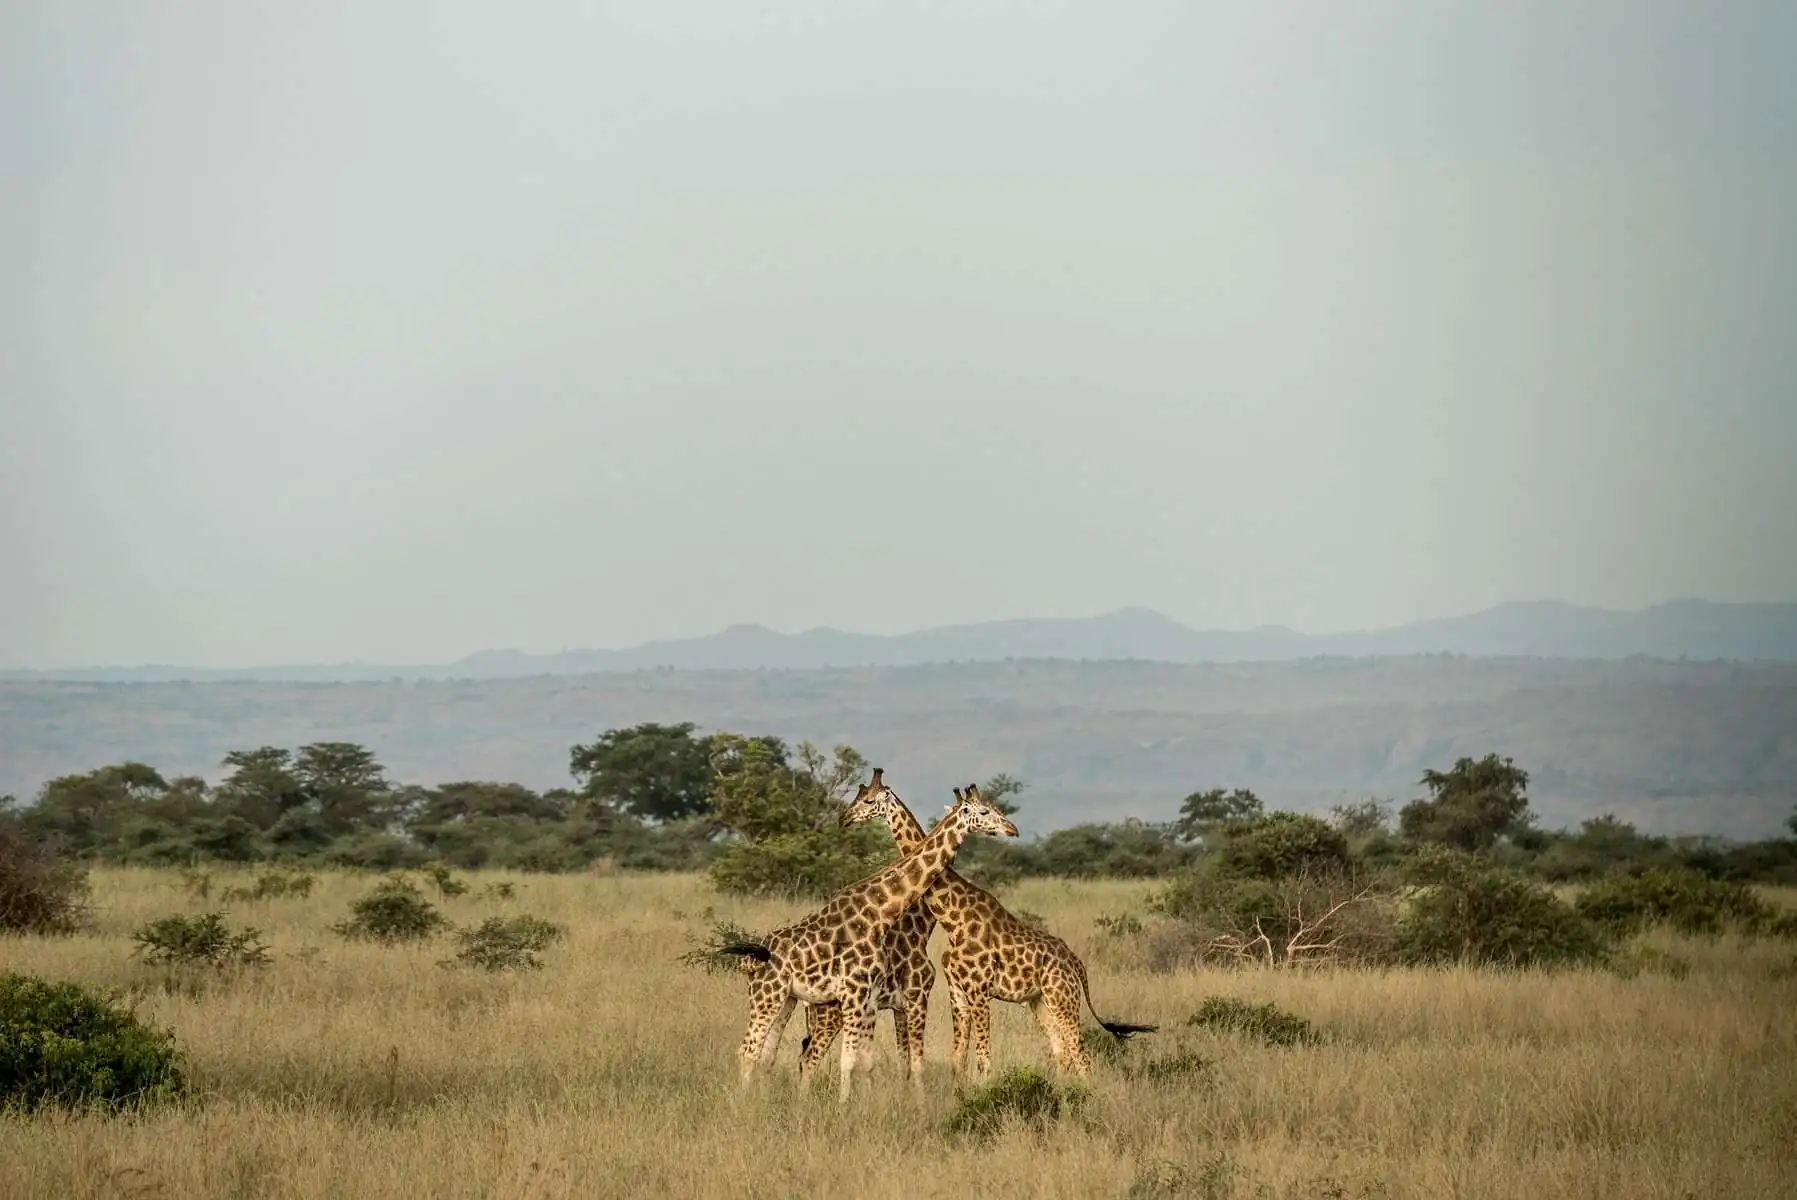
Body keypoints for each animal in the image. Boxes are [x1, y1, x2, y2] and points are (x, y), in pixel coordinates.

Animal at [718, 772, 1027, 1099]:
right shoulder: (892, 995)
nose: (1012, 829)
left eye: (866, 799)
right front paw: (855, 1105)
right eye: (984, 811)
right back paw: (747, 1102)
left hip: (788, 999)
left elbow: (874, 1061)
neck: (885, 913)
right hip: (776, 997)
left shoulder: (876, 999)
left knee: (770, 1053)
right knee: (757, 1051)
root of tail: (749, 960)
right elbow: (873, 1061)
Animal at [823, 783, 1157, 1085]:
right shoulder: (958, 991)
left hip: (1062, 997)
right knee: (1061, 1049)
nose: (844, 818)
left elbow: (984, 1061)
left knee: (1080, 1052)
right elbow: (958, 1059)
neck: (952, 916)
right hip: (1039, 1001)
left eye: (867, 800)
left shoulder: (979, 990)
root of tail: (1077, 963)